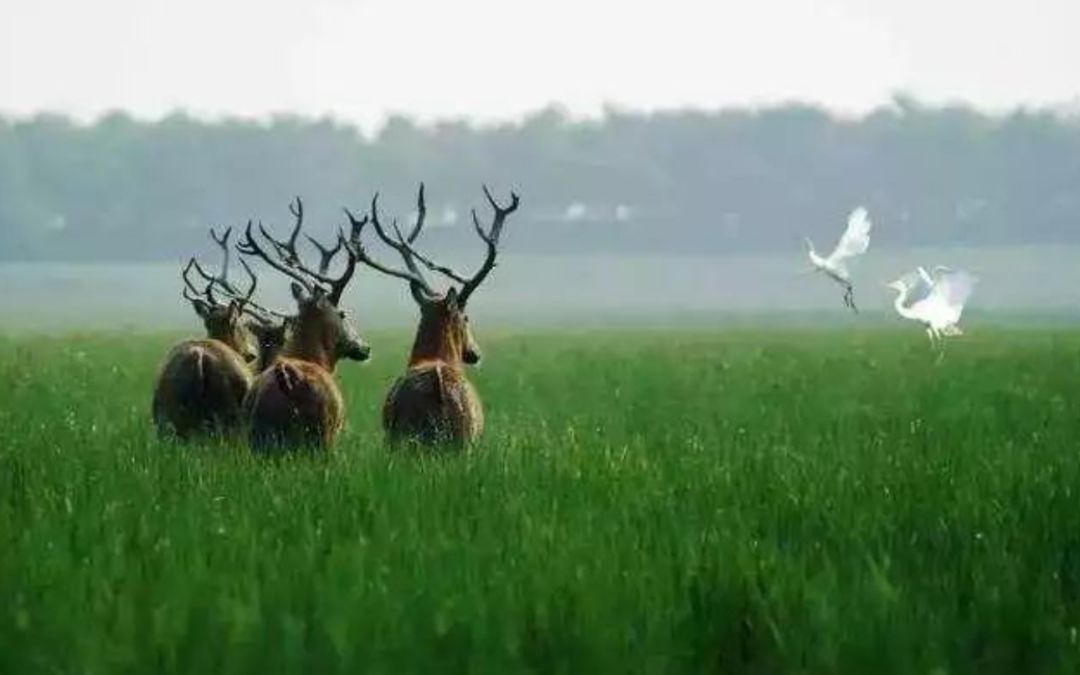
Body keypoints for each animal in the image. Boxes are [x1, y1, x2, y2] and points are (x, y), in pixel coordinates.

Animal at [236, 198, 371, 453]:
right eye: (343, 313)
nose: (365, 347)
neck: (314, 357)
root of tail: (290, 381)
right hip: (322, 434)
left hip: (258, 437)